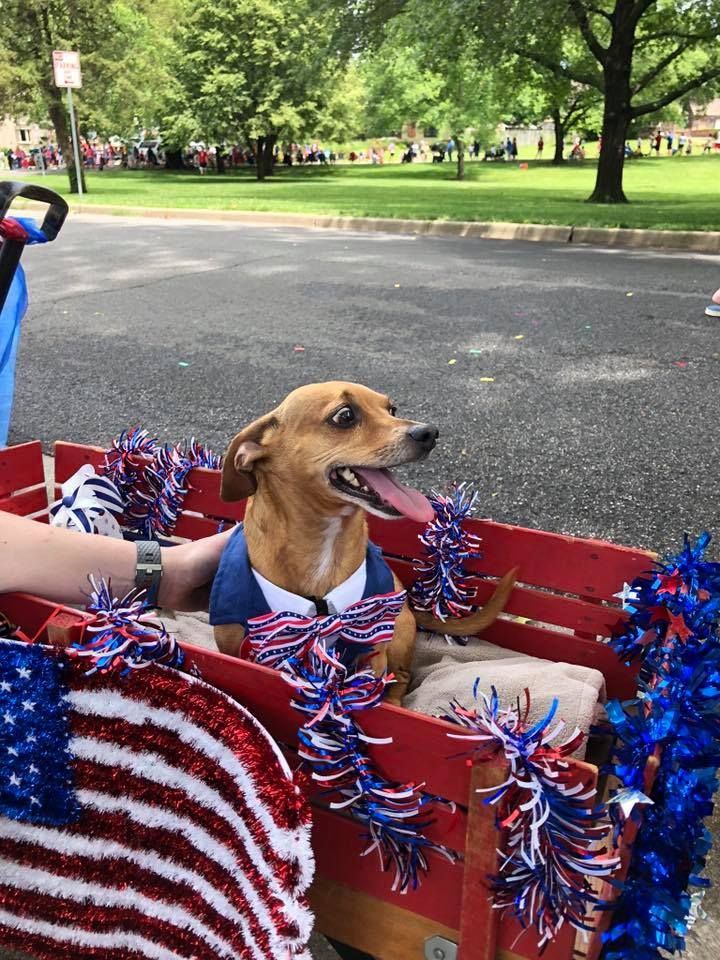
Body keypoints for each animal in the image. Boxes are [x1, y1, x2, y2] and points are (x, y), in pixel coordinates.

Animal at [211, 382, 516, 704]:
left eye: (392, 409)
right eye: (345, 416)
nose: (429, 433)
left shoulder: (372, 655)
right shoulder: (235, 652)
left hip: (399, 632)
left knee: (401, 678)